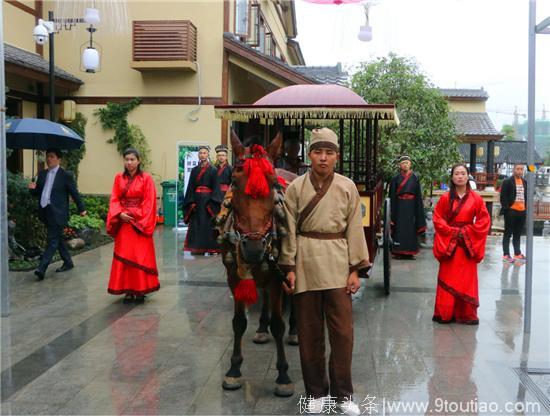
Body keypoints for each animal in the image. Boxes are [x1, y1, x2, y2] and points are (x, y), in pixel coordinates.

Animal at [219, 130, 298, 396]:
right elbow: (238, 323)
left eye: (273, 185)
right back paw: (262, 328)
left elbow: (278, 325)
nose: (253, 248)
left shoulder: (277, 275)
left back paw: (294, 331)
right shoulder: (234, 276)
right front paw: (233, 370)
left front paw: (283, 374)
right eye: (234, 183)